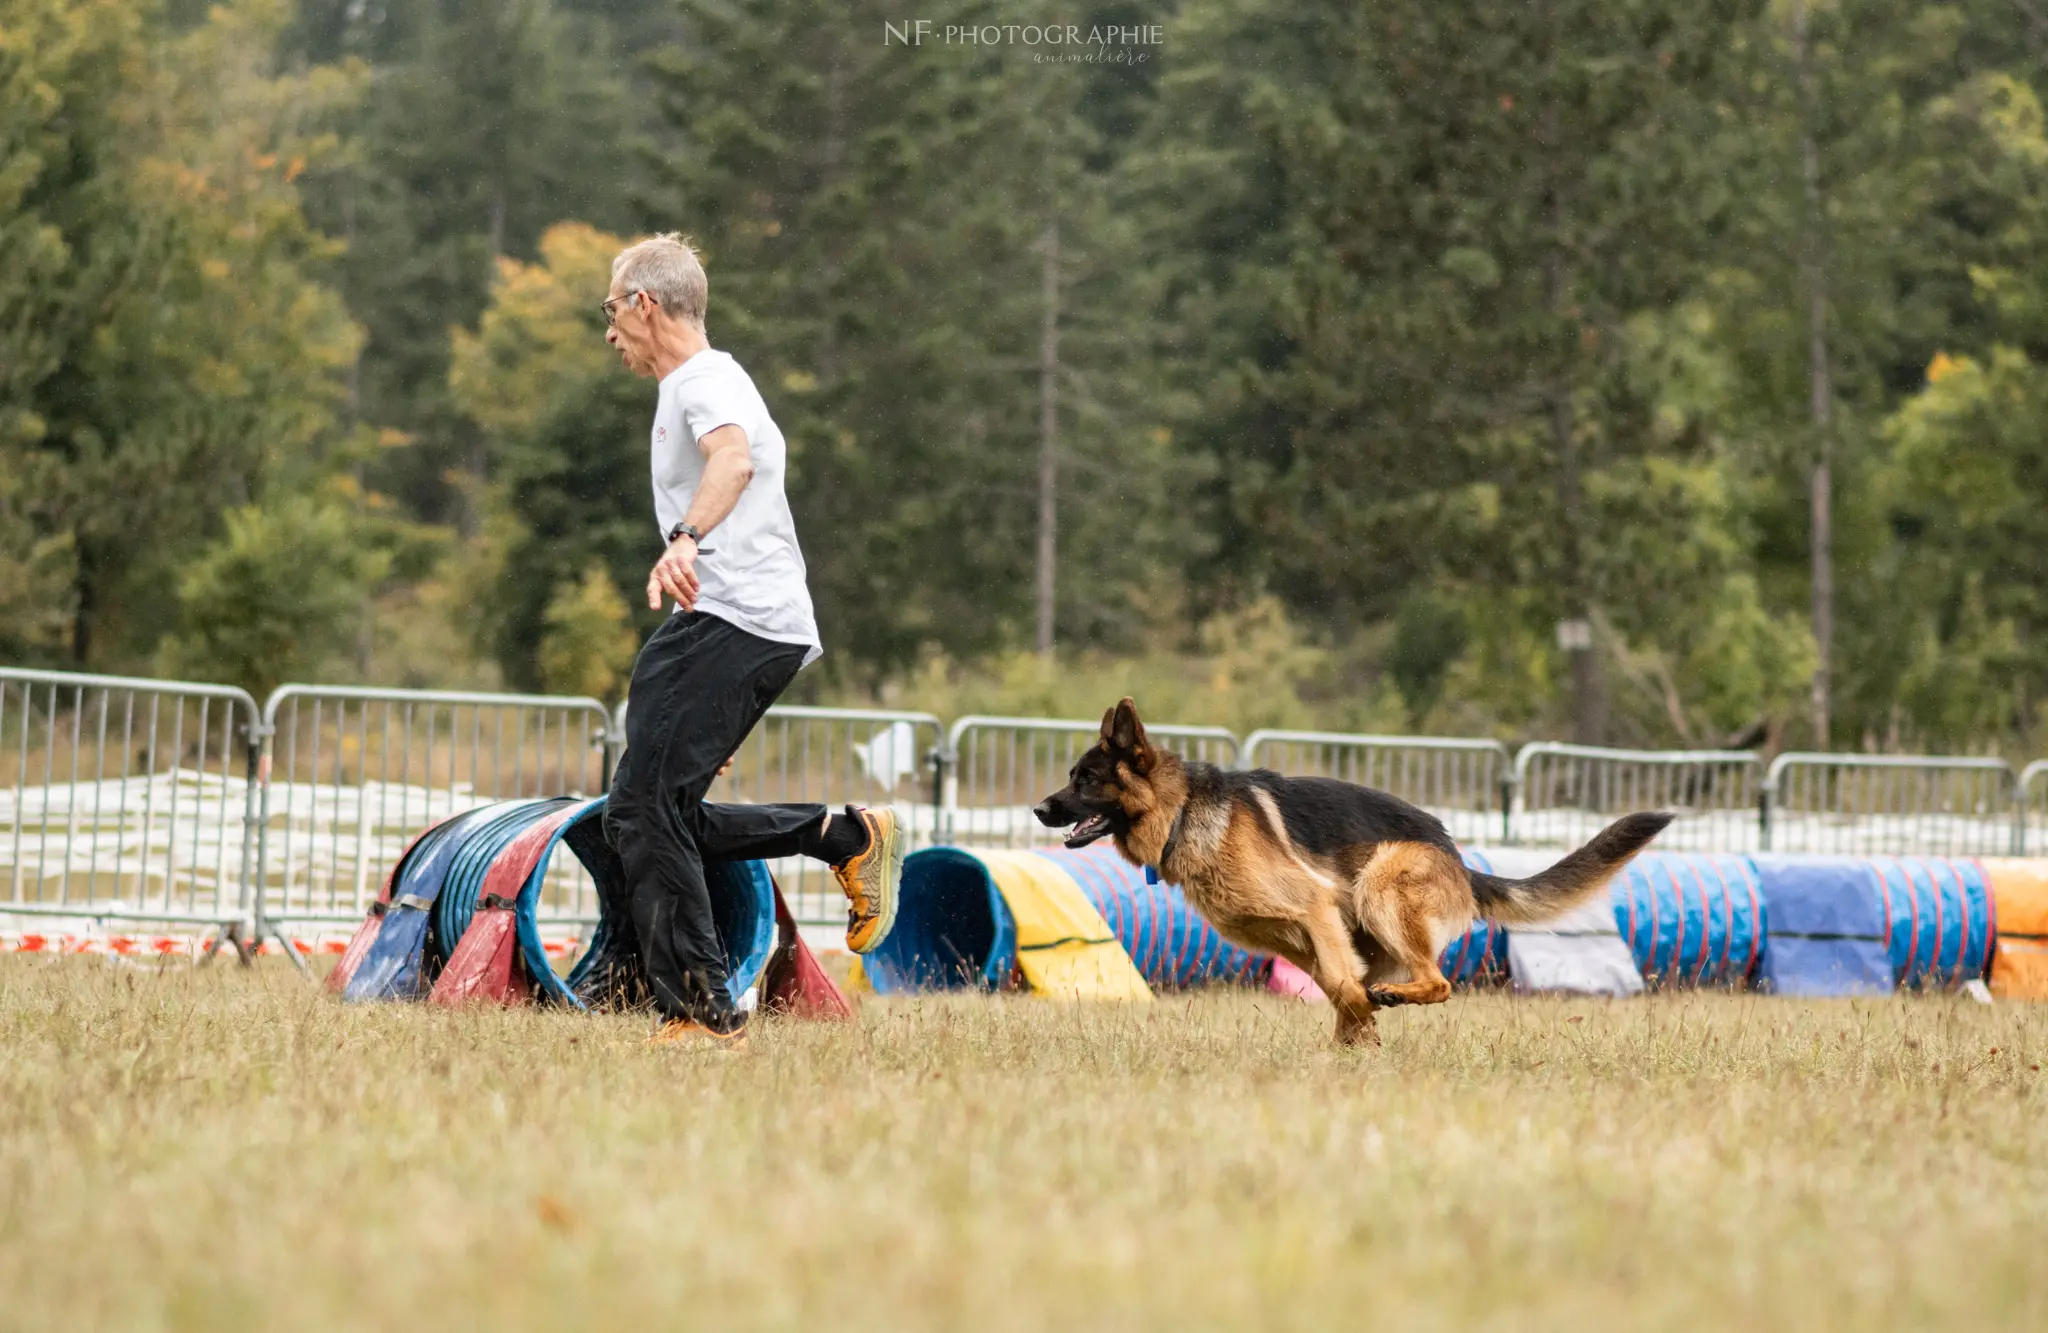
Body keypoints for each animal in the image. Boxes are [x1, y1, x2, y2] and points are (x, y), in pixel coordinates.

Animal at [1032, 700, 1671, 1044]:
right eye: (1071, 776)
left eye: (1087, 780)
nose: (1038, 809)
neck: (1183, 810)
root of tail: (1458, 858)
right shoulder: (1304, 940)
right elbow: (1339, 988)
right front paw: (1354, 1043)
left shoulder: (1315, 910)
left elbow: (1344, 989)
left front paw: (1362, 1025)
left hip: (1382, 885)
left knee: (1438, 981)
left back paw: (1392, 1000)